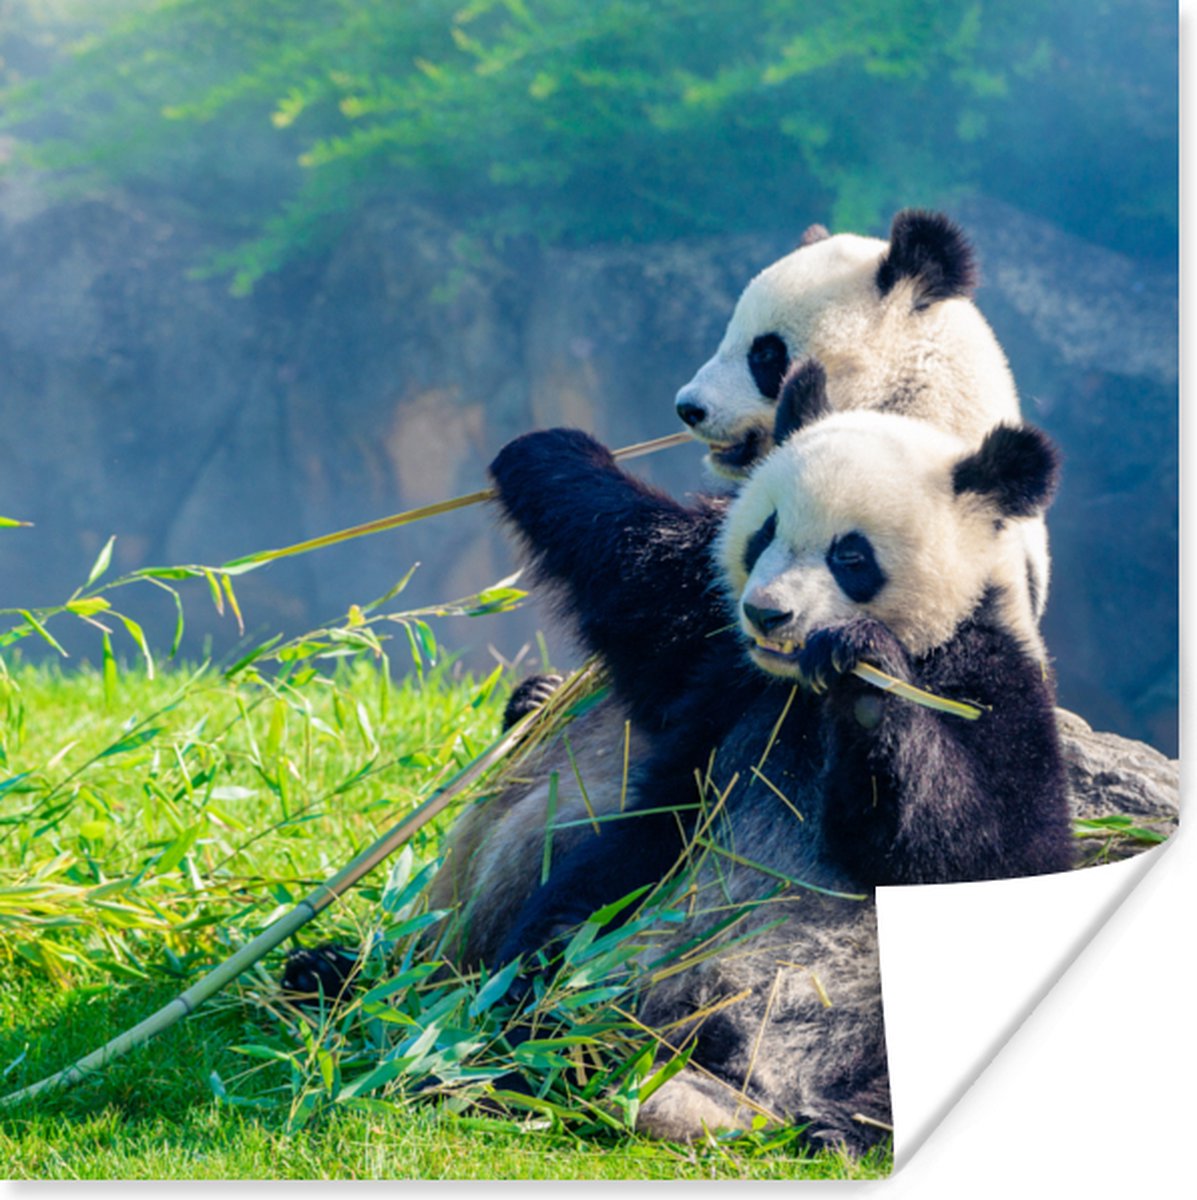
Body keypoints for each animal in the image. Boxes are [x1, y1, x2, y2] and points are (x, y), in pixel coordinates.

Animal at [480, 366, 1072, 1149]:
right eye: (763, 531)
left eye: (850, 555)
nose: (767, 614)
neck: (801, 691)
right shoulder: (726, 679)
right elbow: (646, 587)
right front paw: (547, 452)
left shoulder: (991, 681)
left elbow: (982, 849)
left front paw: (862, 674)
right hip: (621, 920)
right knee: (555, 949)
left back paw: (828, 1124)